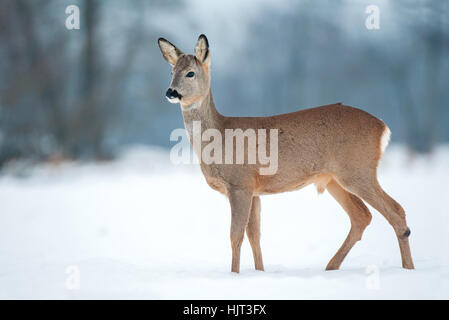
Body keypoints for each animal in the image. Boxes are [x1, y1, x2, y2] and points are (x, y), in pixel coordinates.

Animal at [157, 34, 412, 272]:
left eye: (190, 73)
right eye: (171, 70)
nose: (170, 92)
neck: (219, 136)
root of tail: (382, 127)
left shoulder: (240, 183)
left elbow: (235, 235)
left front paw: (234, 274)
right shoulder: (255, 190)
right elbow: (254, 235)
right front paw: (259, 272)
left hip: (358, 170)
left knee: (395, 211)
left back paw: (408, 268)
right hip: (333, 179)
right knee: (362, 216)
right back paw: (331, 267)